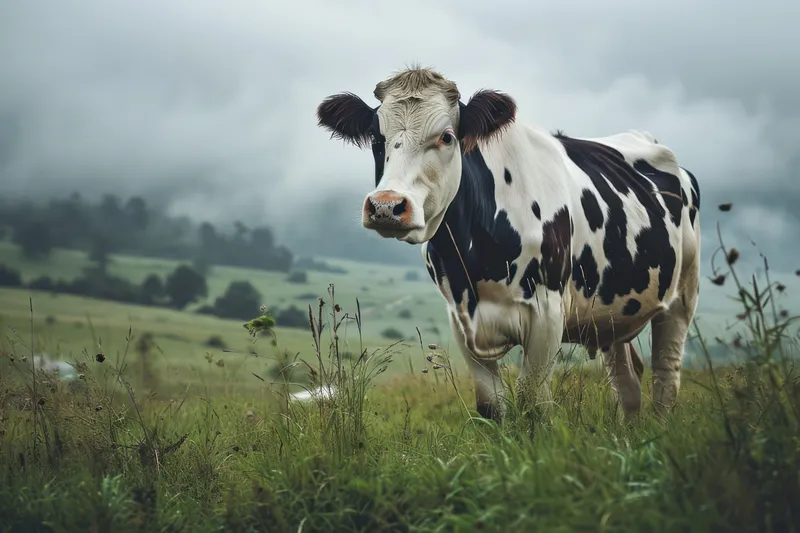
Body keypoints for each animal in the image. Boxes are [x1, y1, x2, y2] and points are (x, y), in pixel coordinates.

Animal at [315, 67, 701, 424]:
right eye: (376, 137)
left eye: (447, 136)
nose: (386, 206)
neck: (475, 256)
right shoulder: (461, 318)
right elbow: (491, 407)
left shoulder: (547, 313)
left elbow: (533, 403)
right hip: (610, 313)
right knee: (627, 382)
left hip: (682, 294)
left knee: (665, 376)